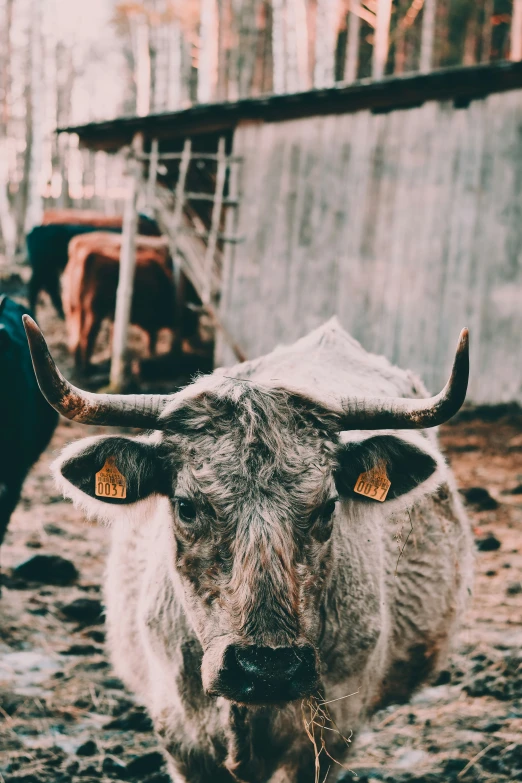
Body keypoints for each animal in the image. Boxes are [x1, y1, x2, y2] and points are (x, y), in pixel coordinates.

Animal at [62, 230, 176, 374]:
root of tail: (89, 257)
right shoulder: (150, 319)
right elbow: (151, 338)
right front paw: (151, 356)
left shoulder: (115, 317)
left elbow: (114, 338)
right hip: (94, 312)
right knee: (87, 337)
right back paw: (88, 368)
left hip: (73, 308)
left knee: (75, 338)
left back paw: (79, 366)